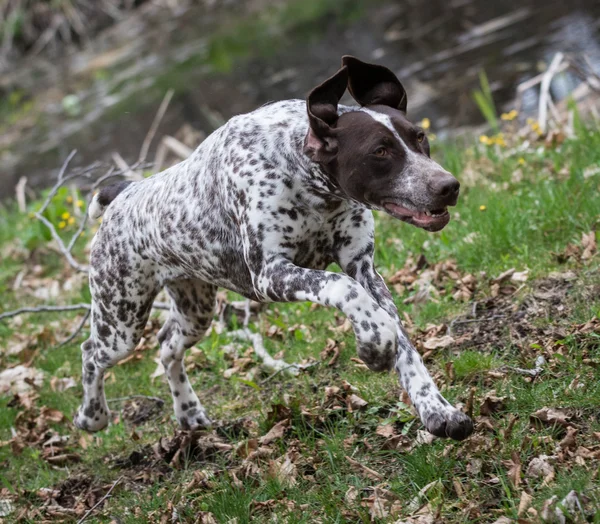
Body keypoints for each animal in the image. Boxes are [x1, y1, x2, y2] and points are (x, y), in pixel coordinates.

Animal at [75, 55, 476, 440]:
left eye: (419, 137)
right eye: (380, 151)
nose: (448, 185)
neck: (306, 182)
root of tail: (124, 192)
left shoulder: (363, 267)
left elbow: (401, 340)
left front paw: (437, 410)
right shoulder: (270, 274)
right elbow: (343, 289)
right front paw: (374, 345)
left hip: (195, 311)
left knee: (166, 345)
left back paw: (188, 412)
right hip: (121, 321)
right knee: (91, 353)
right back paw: (91, 416)